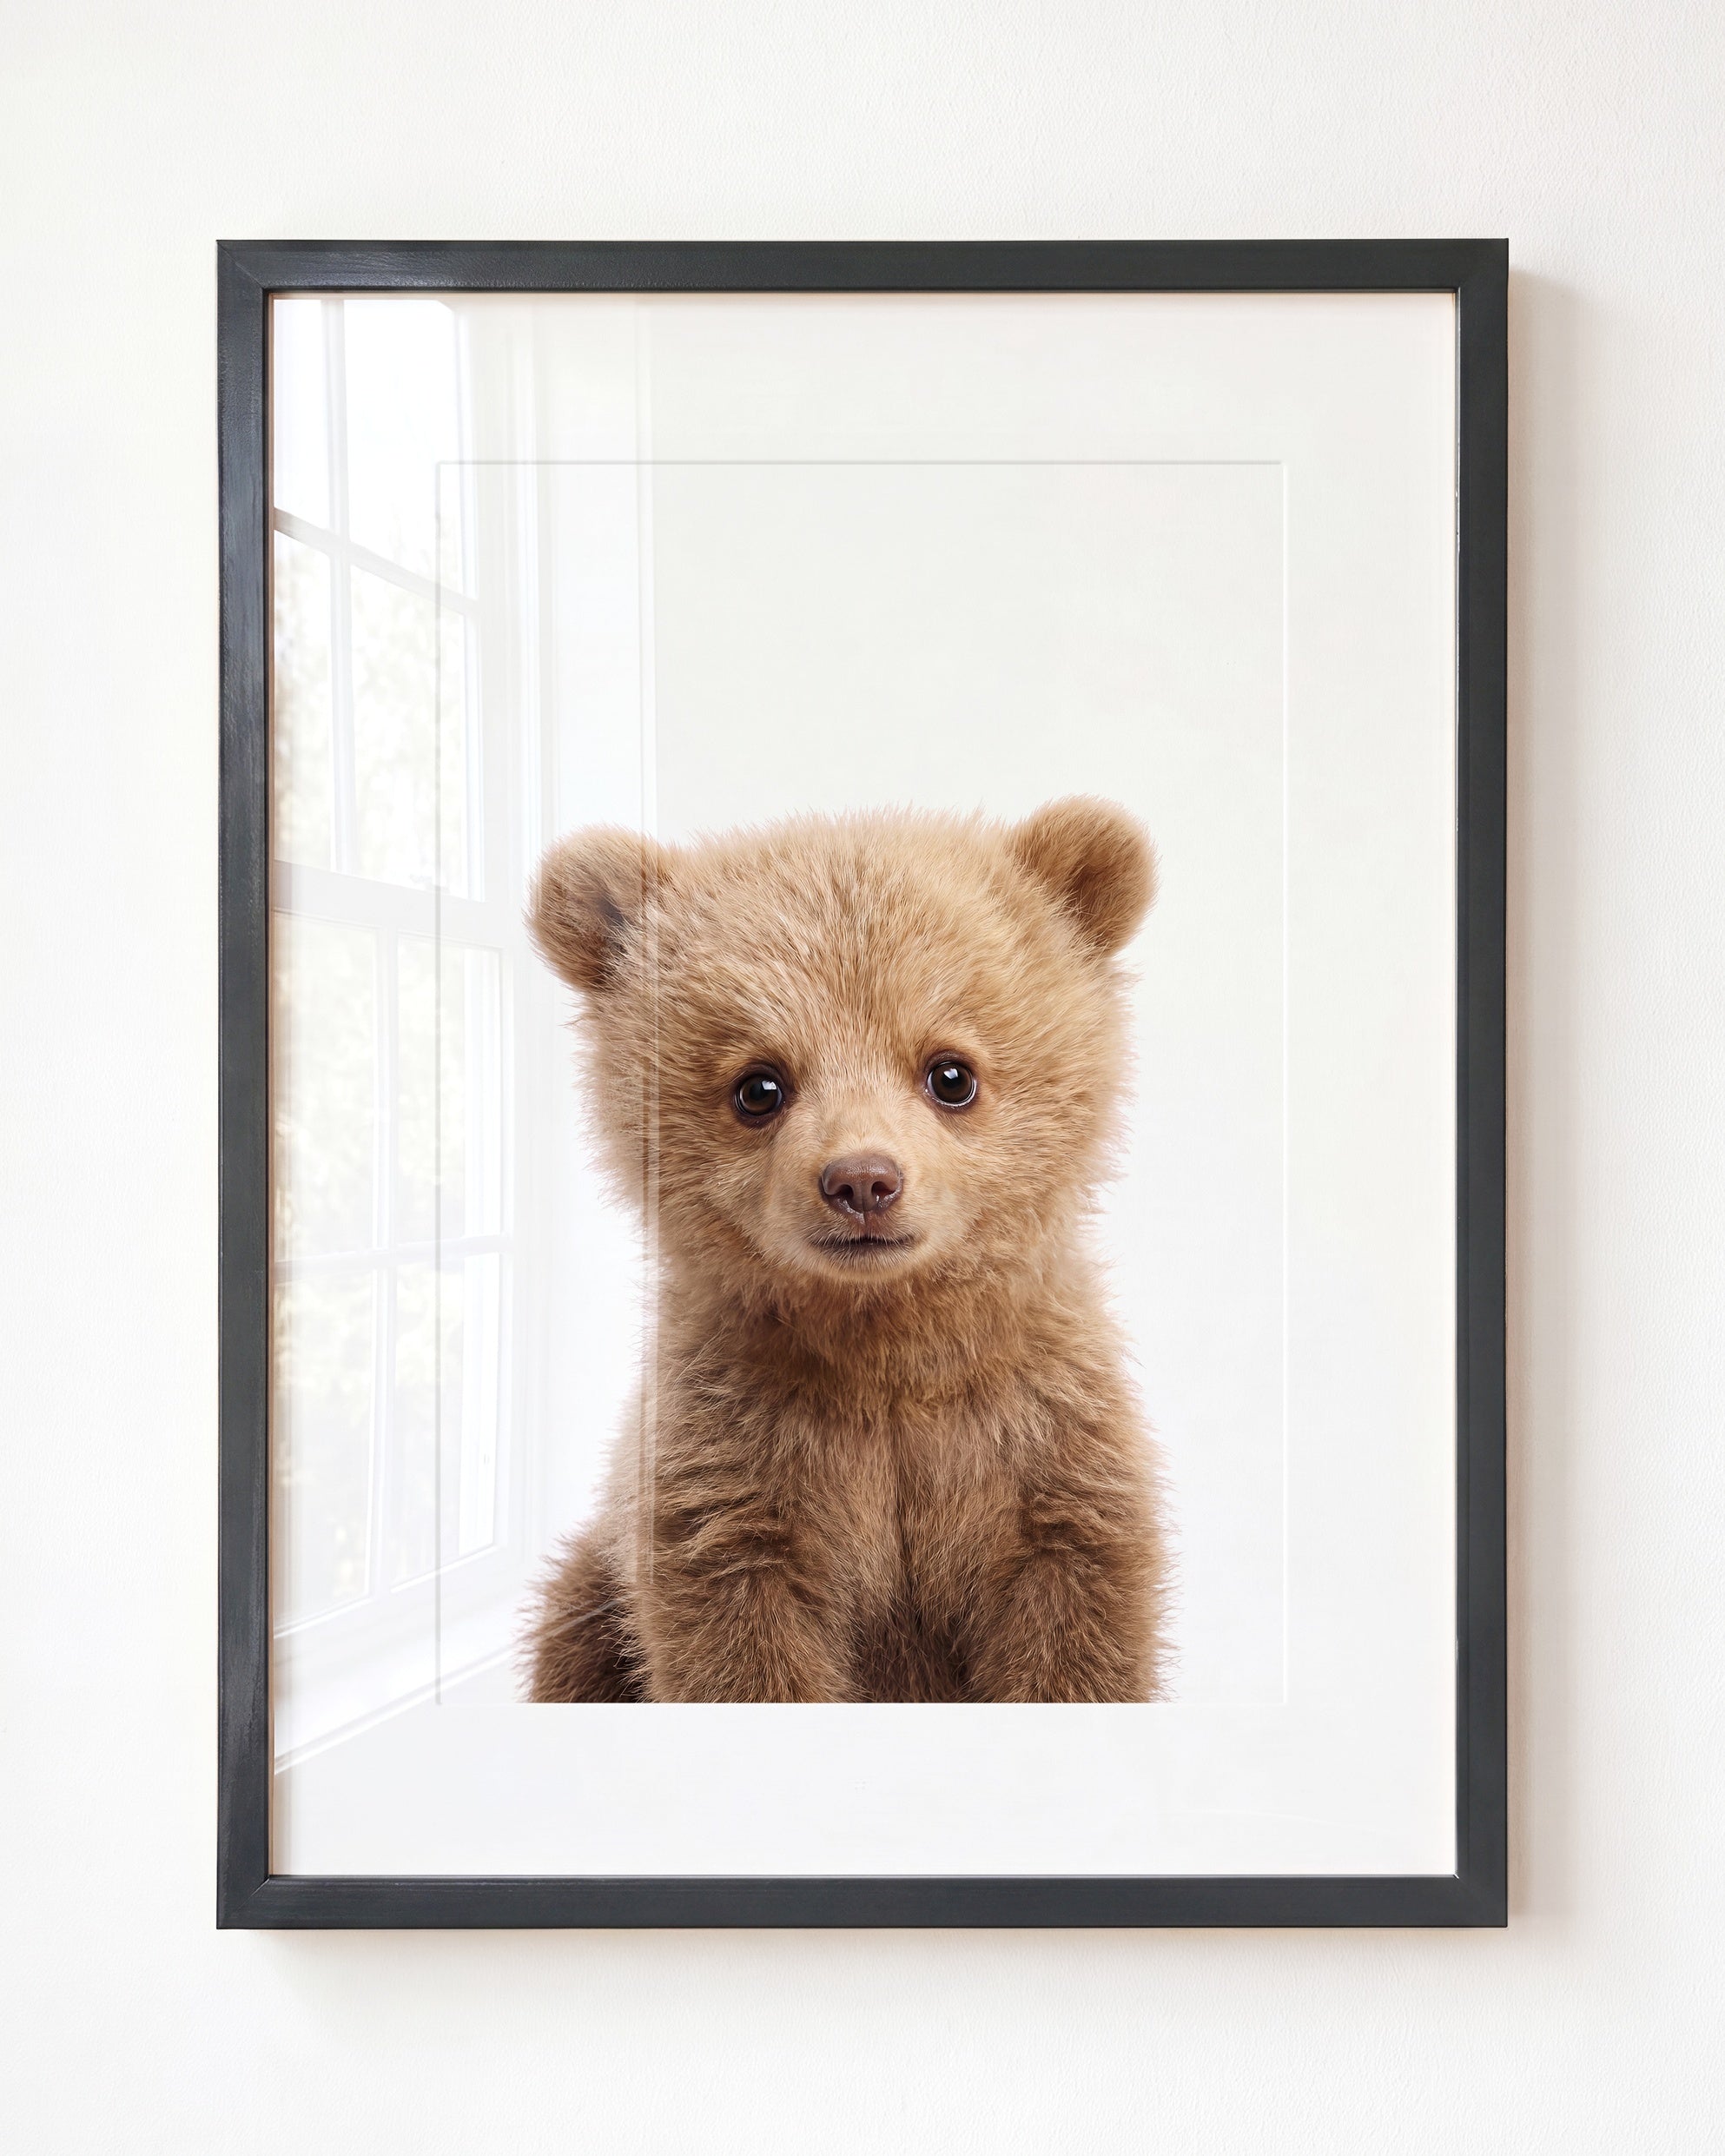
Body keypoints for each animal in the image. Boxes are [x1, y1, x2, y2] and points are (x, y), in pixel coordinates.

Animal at [521, 796, 1171, 1703]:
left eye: (951, 1073)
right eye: (759, 1086)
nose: (863, 1180)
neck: (884, 1348)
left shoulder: (1042, 1454)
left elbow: (1074, 1634)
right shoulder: (735, 1475)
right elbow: (741, 1647)